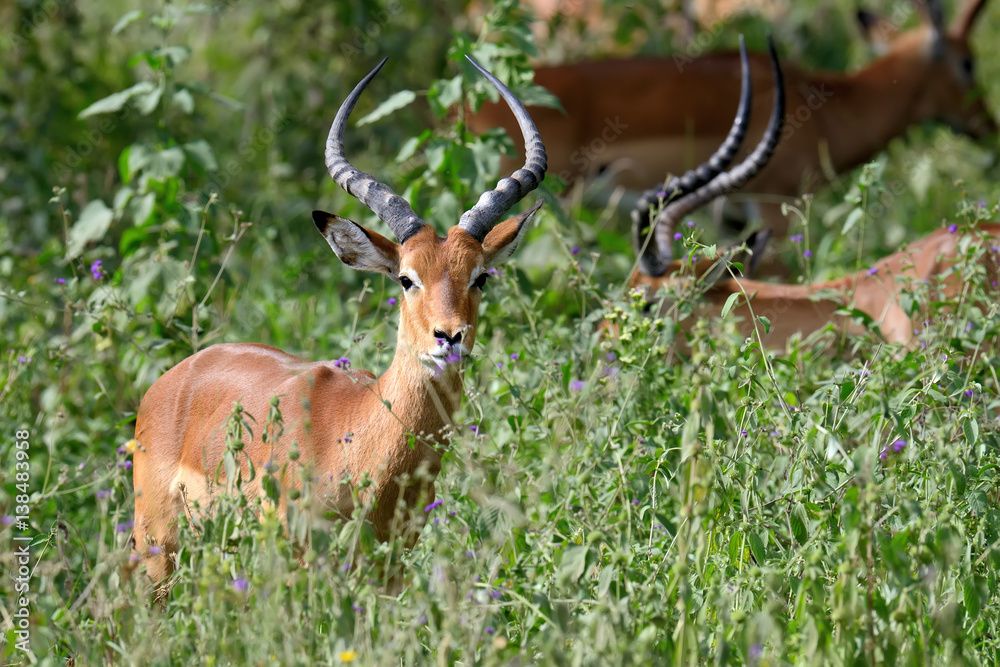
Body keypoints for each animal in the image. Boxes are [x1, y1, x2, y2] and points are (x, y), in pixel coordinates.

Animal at [131, 56, 547, 582]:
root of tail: (173, 378)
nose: (449, 337)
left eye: (481, 277)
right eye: (406, 278)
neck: (359, 437)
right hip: (157, 546)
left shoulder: (390, 569)